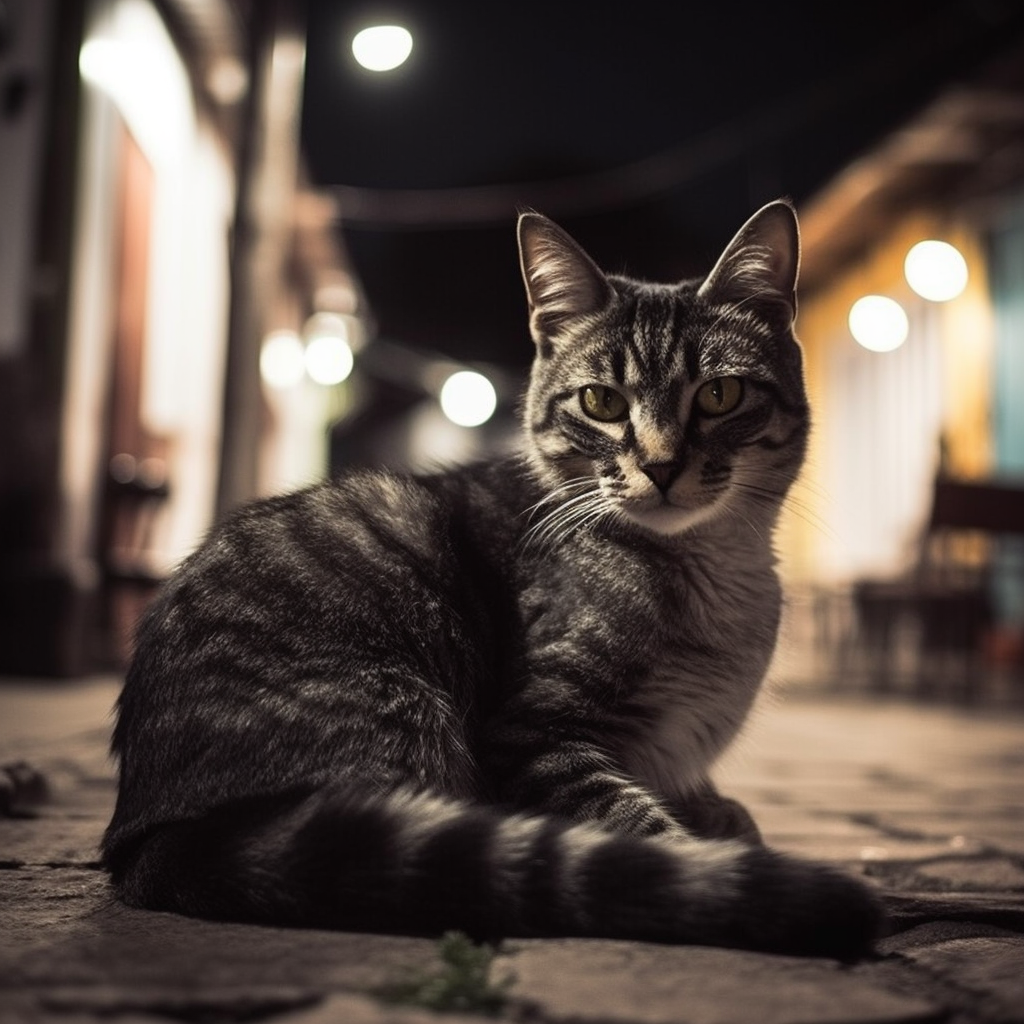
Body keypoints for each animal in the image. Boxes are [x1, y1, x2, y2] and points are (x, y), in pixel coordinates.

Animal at [101, 201, 880, 958]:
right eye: (601, 402)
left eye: (720, 394)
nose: (660, 465)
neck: (713, 574)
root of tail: (146, 839)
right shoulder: (533, 737)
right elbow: (644, 830)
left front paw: (723, 814)